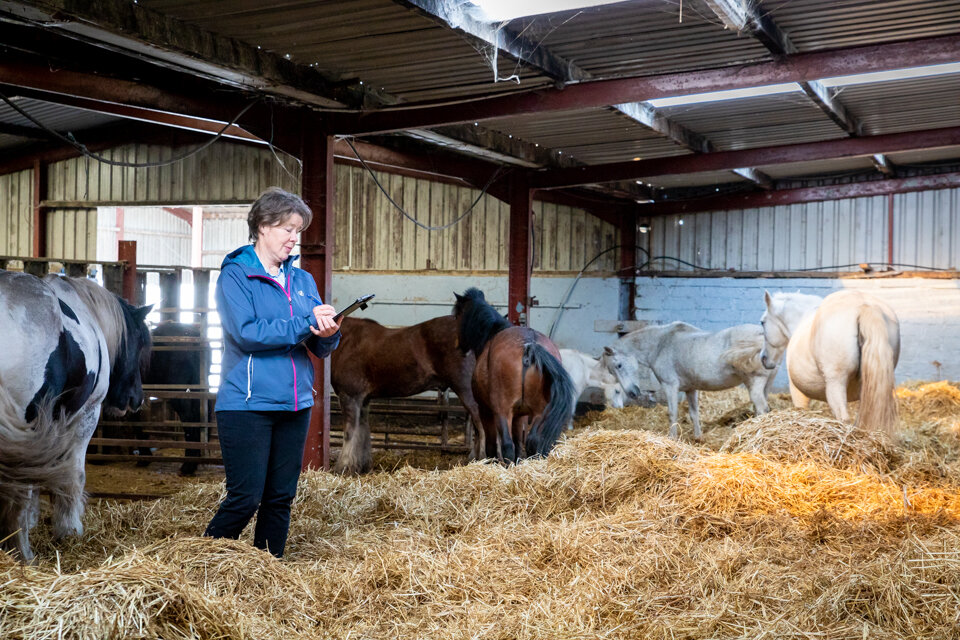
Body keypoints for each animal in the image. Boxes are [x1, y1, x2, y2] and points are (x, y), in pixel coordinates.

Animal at [0, 272, 151, 564]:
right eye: (139, 343)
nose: (135, 399)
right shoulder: (84, 416)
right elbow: (73, 475)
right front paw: (70, 529)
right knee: (18, 488)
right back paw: (23, 552)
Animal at [330, 316, 484, 476]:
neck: (347, 340)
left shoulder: (349, 396)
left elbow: (350, 433)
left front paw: (343, 467)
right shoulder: (363, 399)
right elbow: (362, 431)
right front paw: (361, 467)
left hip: (466, 391)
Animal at [454, 288, 572, 462]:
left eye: (457, 315)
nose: (459, 346)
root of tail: (529, 346)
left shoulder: (485, 410)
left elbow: (493, 445)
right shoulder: (520, 415)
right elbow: (518, 442)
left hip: (502, 411)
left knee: (507, 445)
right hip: (539, 412)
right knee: (532, 441)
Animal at [600, 324, 780, 440]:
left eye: (619, 365)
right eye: (611, 371)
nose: (632, 393)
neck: (661, 344)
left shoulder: (670, 386)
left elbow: (672, 413)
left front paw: (672, 438)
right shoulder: (691, 389)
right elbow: (694, 413)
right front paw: (698, 438)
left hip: (755, 383)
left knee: (762, 409)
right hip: (764, 385)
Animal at [756, 290, 900, 436]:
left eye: (762, 322)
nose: (764, 359)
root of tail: (865, 306)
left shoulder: (797, 392)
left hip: (835, 384)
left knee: (843, 418)